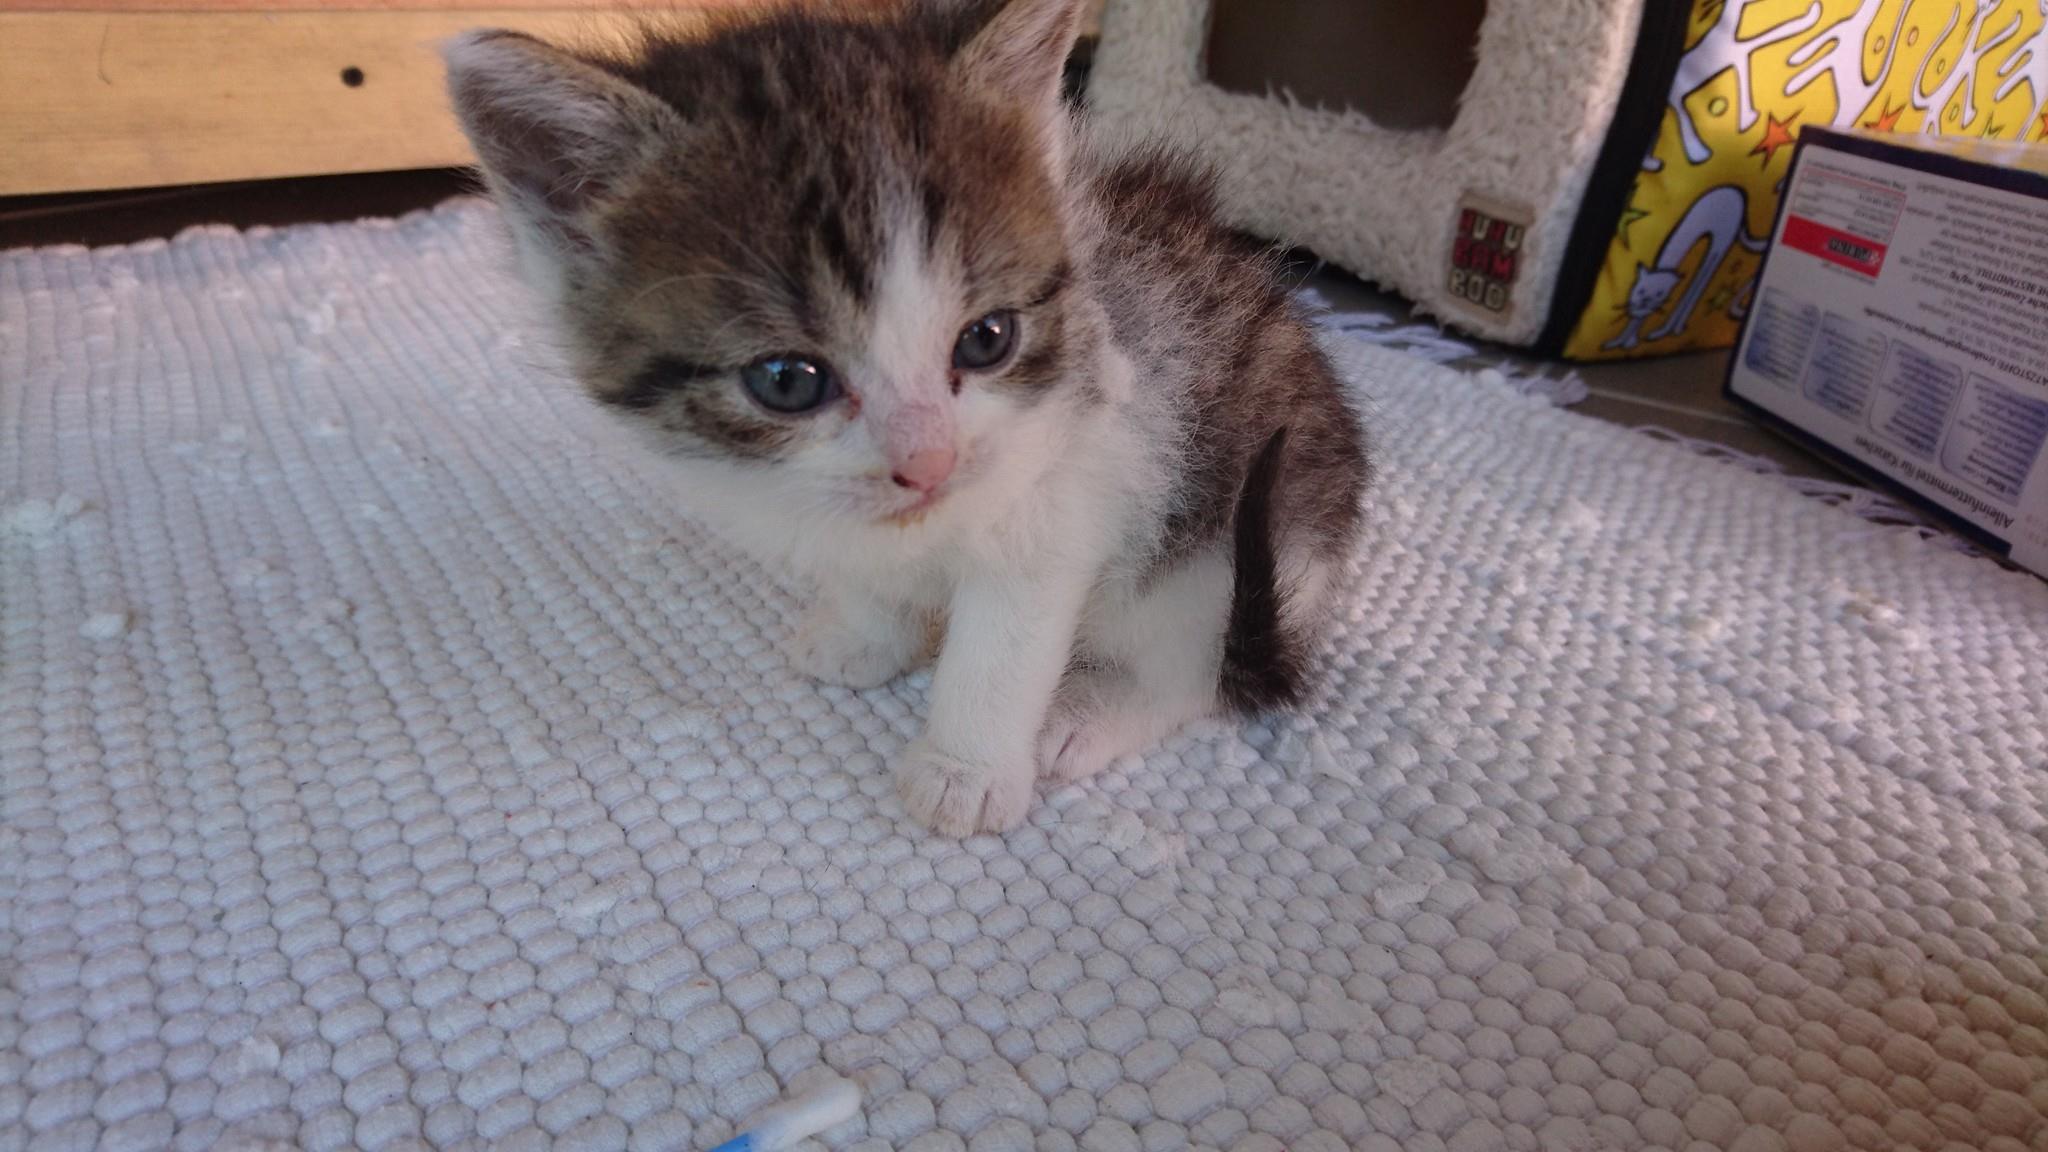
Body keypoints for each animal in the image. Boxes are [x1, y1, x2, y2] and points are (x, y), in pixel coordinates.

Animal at [442, 0, 1369, 836]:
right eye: (787, 381)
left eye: (988, 338)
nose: (929, 463)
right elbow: (863, 562)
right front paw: (867, 632)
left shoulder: (1073, 484)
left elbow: (1006, 639)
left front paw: (966, 772)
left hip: (1237, 532)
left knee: (1195, 658)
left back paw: (1091, 709)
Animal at [1603, 185, 1768, 351]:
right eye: (1640, 290)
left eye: (1659, 294)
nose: (1646, 300)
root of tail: (1738, 195)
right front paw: (1621, 341)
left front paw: (1628, 340)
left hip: (1721, 243)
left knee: (1700, 280)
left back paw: (1672, 329)